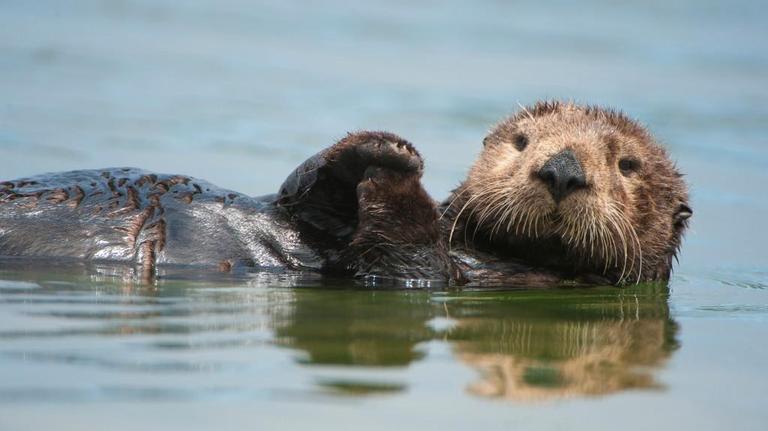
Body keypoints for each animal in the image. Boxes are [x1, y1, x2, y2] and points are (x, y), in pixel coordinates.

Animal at [0, 102, 691, 286]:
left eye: (627, 164)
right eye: (522, 142)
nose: (562, 169)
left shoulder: (424, 274)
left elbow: (399, 257)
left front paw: (395, 167)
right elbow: (300, 193)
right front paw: (385, 146)